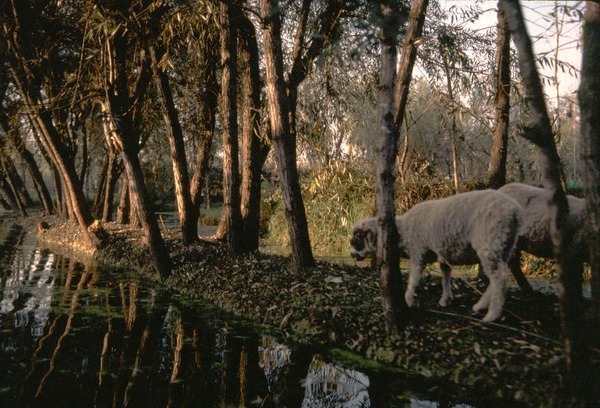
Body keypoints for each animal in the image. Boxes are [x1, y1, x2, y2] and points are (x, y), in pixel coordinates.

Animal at [350, 190, 524, 322]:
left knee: (499, 279)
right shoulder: (443, 254)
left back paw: (492, 314)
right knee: (497, 278)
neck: (403, 231)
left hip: (490, 243)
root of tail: (515, 211)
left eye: (358, 239)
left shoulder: (418, 252)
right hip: (504, 247)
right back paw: (481, 306)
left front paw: (408, 299)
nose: (351, 254)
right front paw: (445, 299)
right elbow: (445, 275)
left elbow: (413, 279)